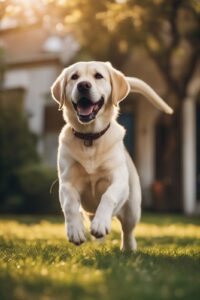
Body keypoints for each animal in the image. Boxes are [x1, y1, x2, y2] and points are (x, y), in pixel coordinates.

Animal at [50, 61, 173, 251]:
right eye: (74, 77)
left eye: (98, 76)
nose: (83, 85)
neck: (89, 138)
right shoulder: (66, 182)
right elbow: (70, 204)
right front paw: (75, 231)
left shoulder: (118, 179)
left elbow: (108, 196)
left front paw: (101, 223)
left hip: (132, 208)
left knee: (128, 231)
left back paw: (128, 248)